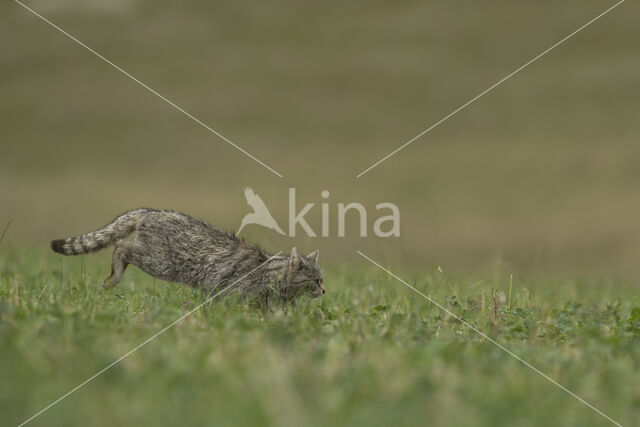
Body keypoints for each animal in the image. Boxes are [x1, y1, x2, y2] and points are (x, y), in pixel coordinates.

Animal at [50, 208, 324, 304]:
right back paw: (114, 275)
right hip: (160, 262)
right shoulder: (230, 293)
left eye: (322, 280)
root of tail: (149, 211)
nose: (324, 291)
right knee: (121, 247)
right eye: (315, 281)